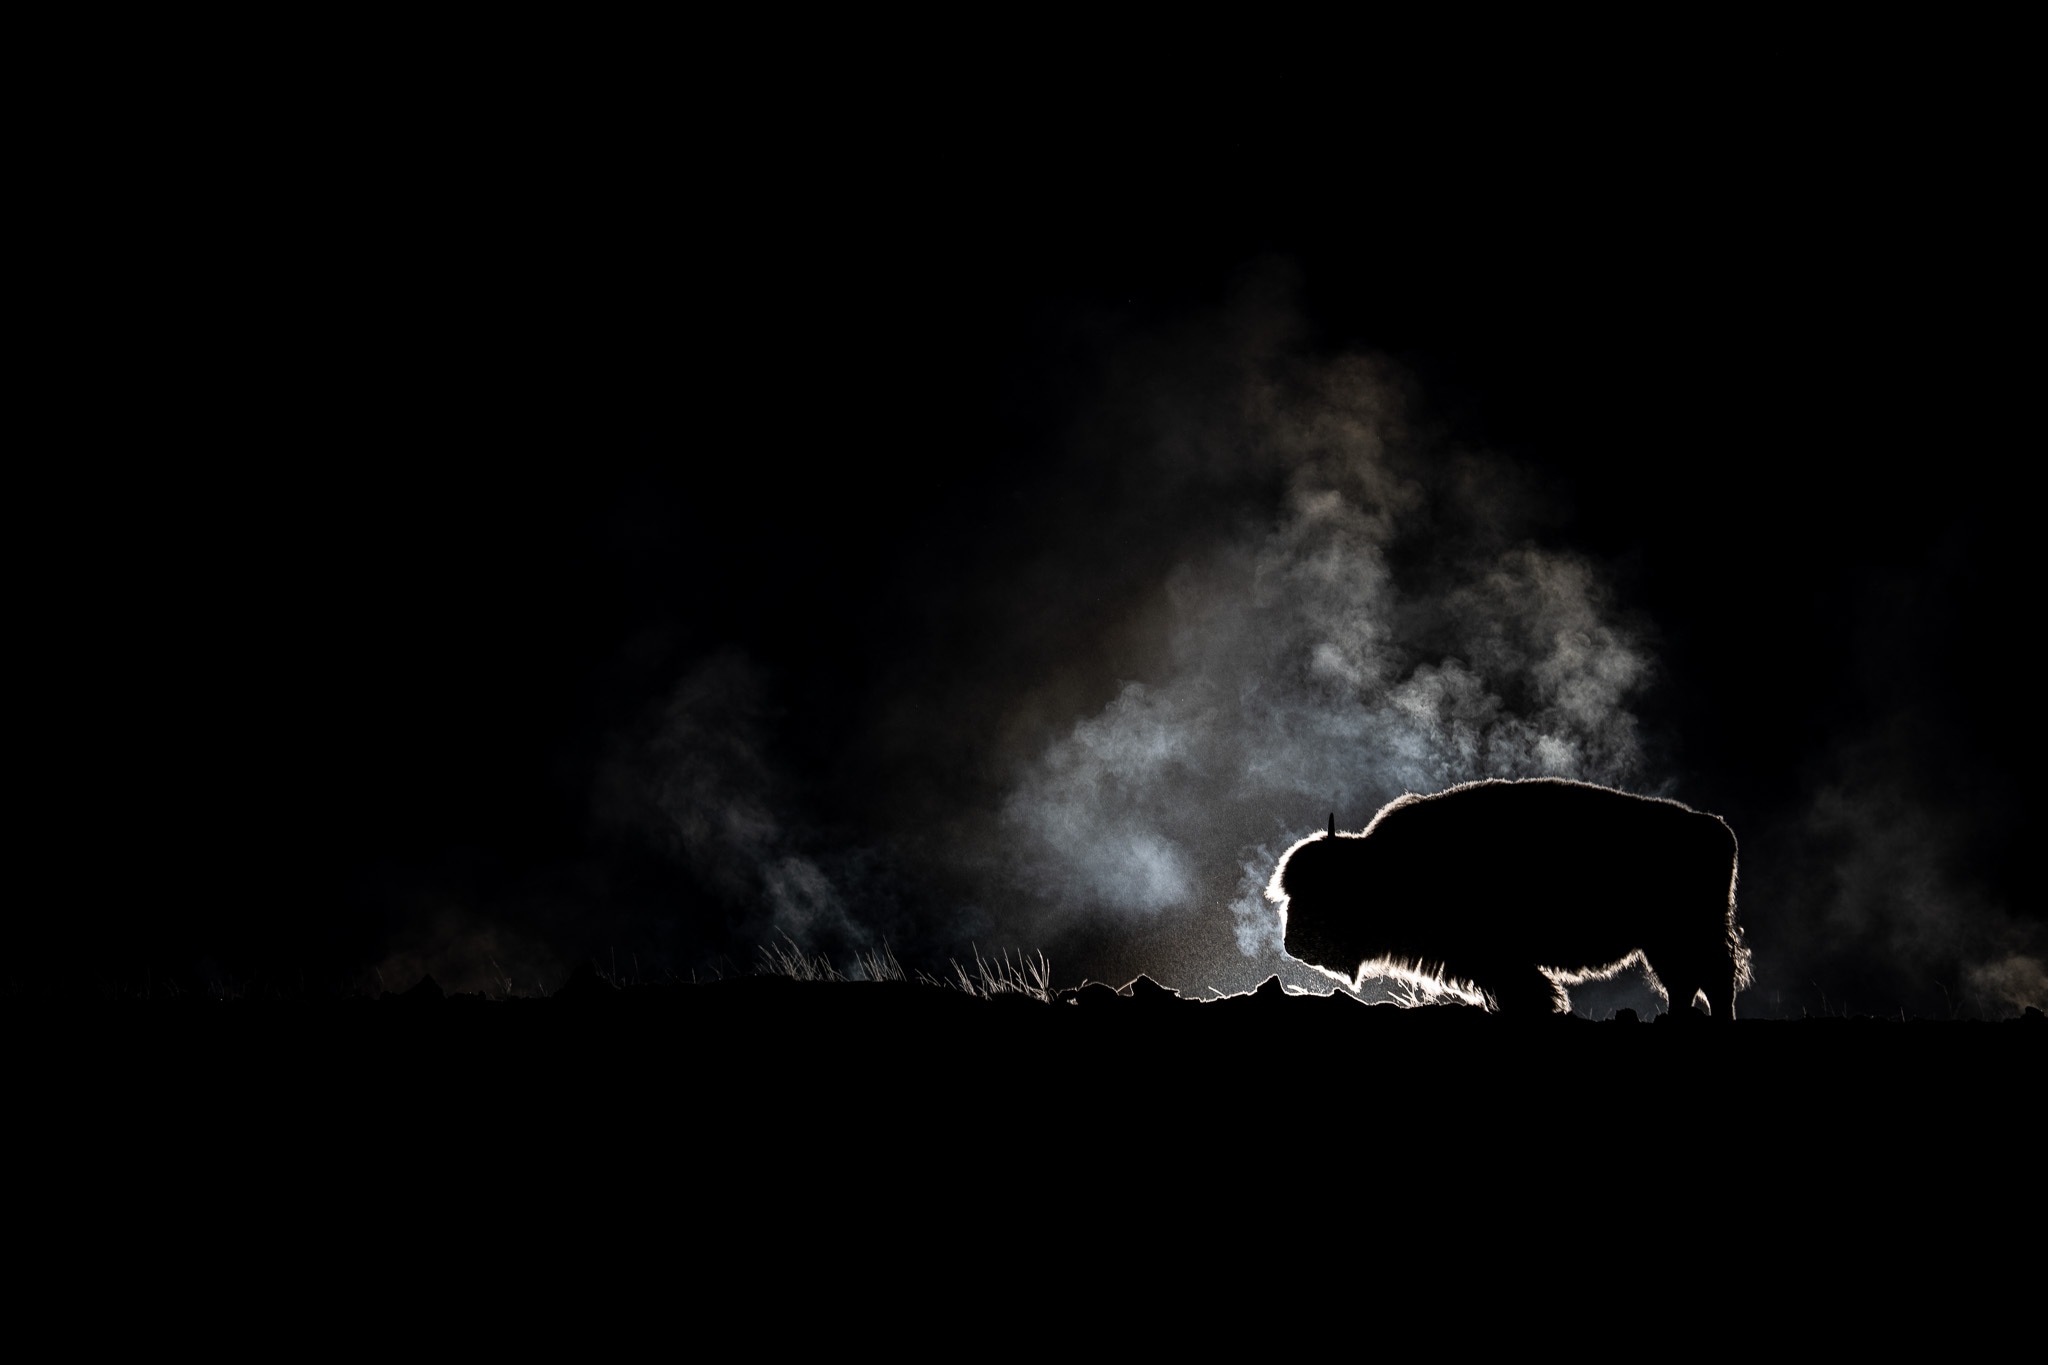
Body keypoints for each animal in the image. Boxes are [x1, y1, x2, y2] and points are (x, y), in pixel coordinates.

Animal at [1267, 778, 1749, 1019]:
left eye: (1320, 893)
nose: (1293, 945)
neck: (1382, 867)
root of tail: (1717, 827)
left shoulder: (1501, 962)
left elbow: (1529, 994)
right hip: (1663, 943)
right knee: (1689, 982)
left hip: (1684, 935)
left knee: (1712, 978)